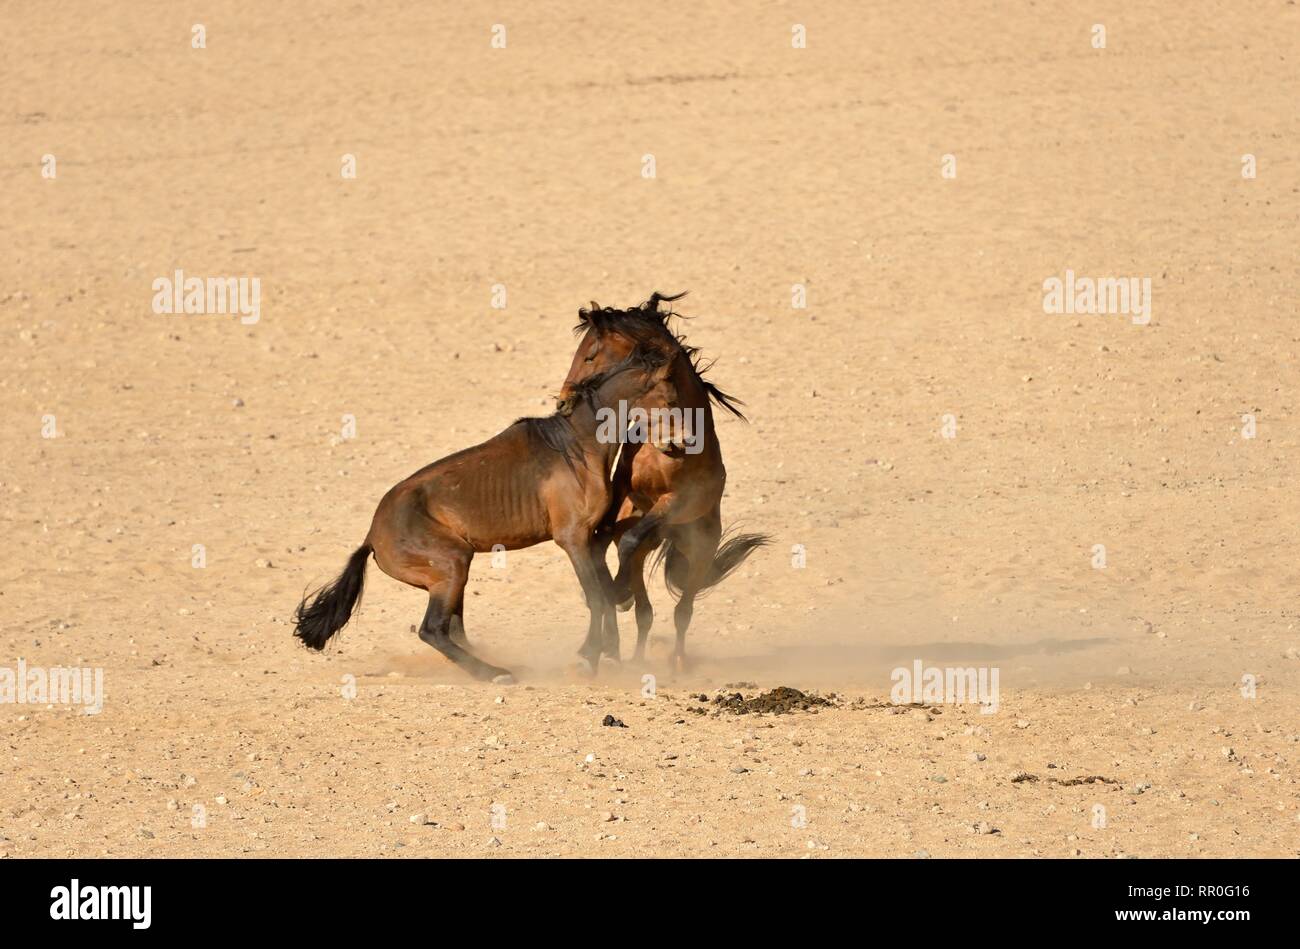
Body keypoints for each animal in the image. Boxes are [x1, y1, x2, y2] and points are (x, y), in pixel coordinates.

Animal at [296, 343, 681, 681]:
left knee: (453, 630)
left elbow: (603, 596)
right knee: (433, 630)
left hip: (452, 574)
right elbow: (597, 599)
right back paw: (495, 674)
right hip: (453, 564)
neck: (577, 446)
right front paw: (588, 658)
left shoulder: (592, 539)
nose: (678, 444)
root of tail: (372, 538)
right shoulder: (573, 540)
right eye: (669, 399)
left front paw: (604, 651)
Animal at [553, 292, 764, 670]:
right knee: (645, 611)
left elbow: (628, 540)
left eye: (589, 355)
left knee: (682, 610)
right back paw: (627, 650)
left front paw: (616, 593)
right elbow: (603, 539)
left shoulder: (674, 501)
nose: (562, 401)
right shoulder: (623, 489)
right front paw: (610, 599)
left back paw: (676, 661)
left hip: (698, 552)